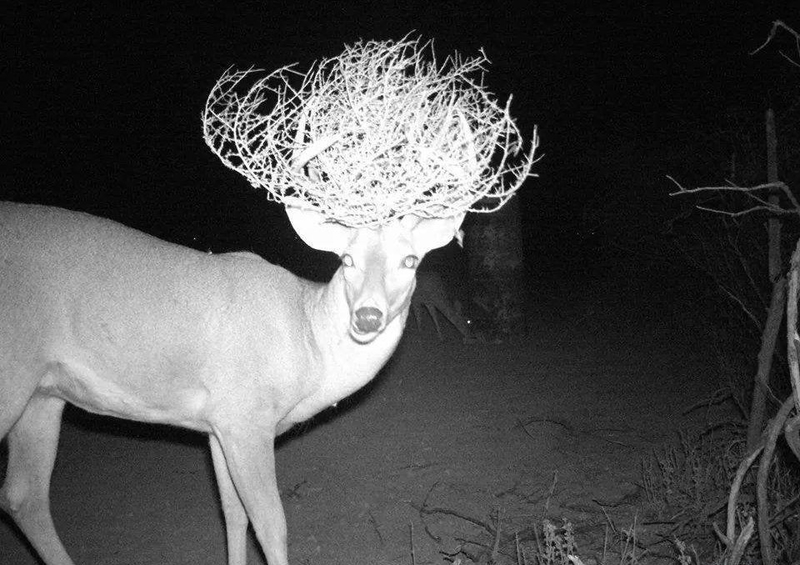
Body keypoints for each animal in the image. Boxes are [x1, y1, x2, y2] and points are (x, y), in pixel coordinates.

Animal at [0, 202, 466, 564]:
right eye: (346, 260)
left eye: (410, 260)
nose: (367, 316)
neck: (309, 347)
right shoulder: (246, 415)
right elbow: (271, 523)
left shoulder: (218, 423)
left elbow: (233, 513)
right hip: (13, 373)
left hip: (44, 394)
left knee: (23, 496)